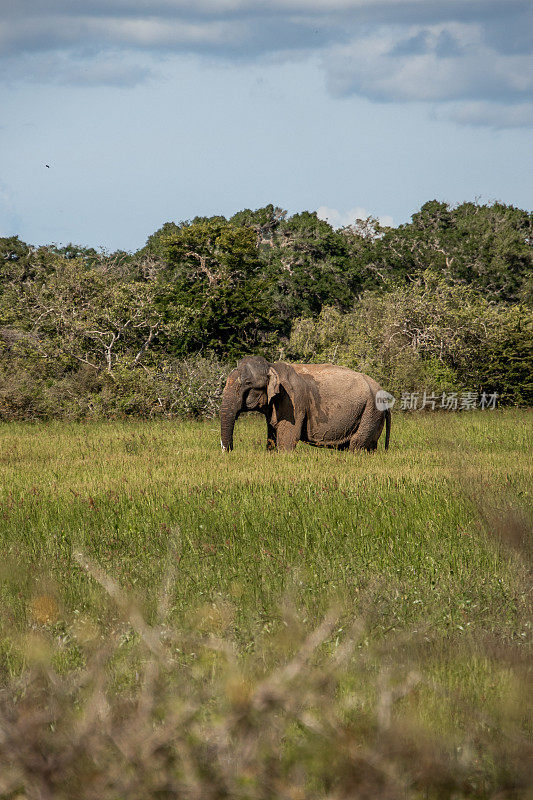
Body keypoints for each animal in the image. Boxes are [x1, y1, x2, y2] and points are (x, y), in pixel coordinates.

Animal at [220, 354, 390, 450]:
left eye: (248, 383)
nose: (229, 450)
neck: (271, 366)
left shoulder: (293, 402)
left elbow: (288, 439)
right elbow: (272, 435)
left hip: (371, 411)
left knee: (357, 444)